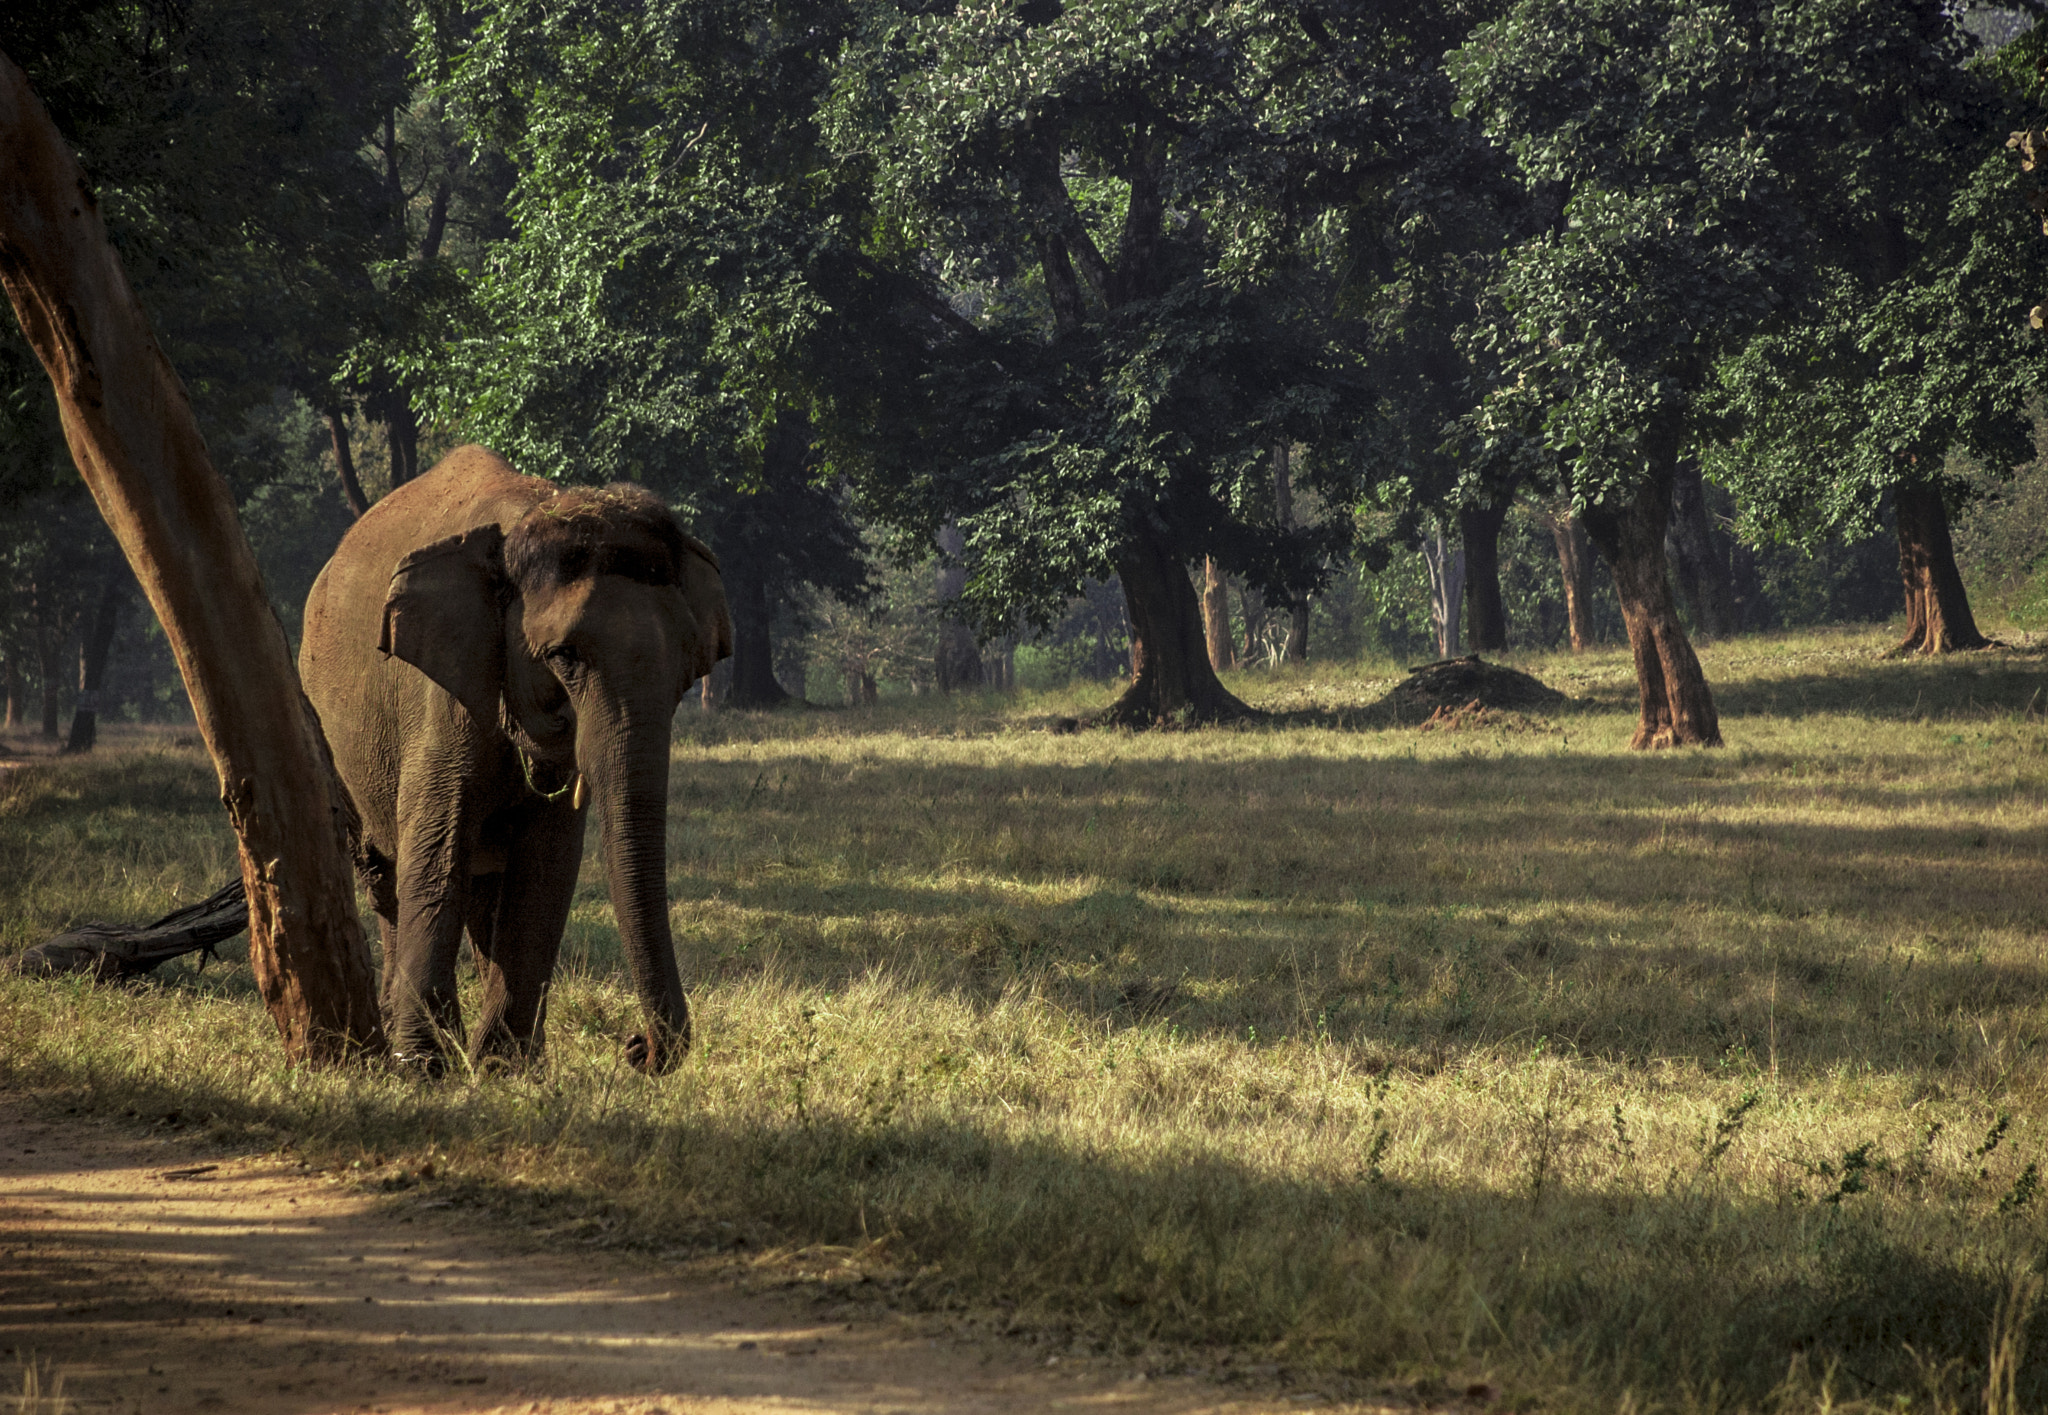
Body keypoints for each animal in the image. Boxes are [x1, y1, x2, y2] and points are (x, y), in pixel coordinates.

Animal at [299, 445, 731, 1073]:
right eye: (564, 657)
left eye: (685, 673)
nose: (636, 1047)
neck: (531, 518)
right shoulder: (442, 696)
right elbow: (436, 847)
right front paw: (423, 1067)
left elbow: (547, 864)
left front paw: (505, 1067)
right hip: (329, 732)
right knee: (383, 874)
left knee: (483, 890)